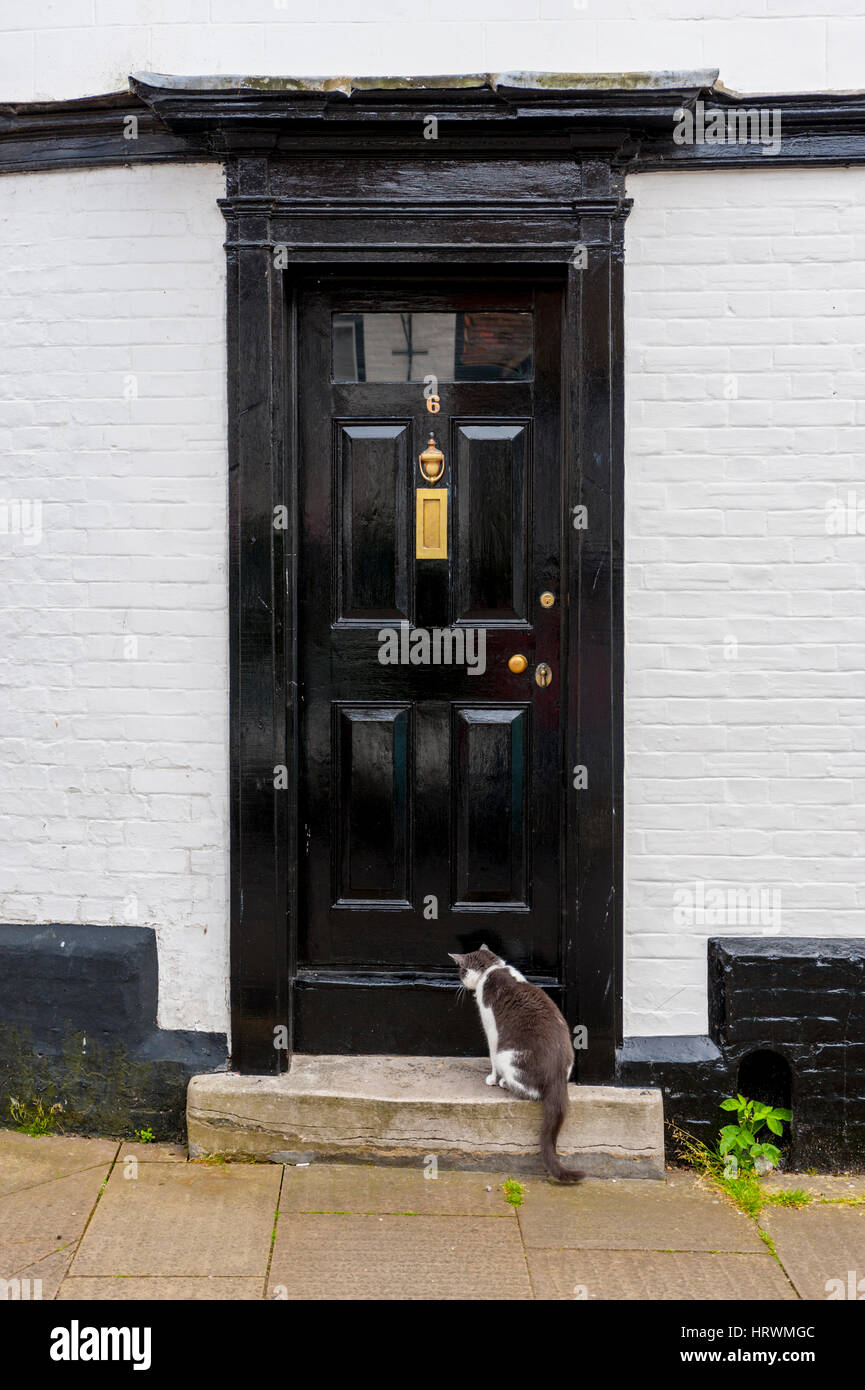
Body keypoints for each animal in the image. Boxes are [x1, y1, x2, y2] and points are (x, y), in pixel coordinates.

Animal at [450, 945, 586, 1184]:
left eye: (461, 971)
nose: (460, 982)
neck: (492, 968)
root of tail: (557, 1075)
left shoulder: (492, 1031)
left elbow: (491, 1055)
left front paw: (492, 1079)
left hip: (508, 1056)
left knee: (529, 1090)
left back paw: (504, 1082)